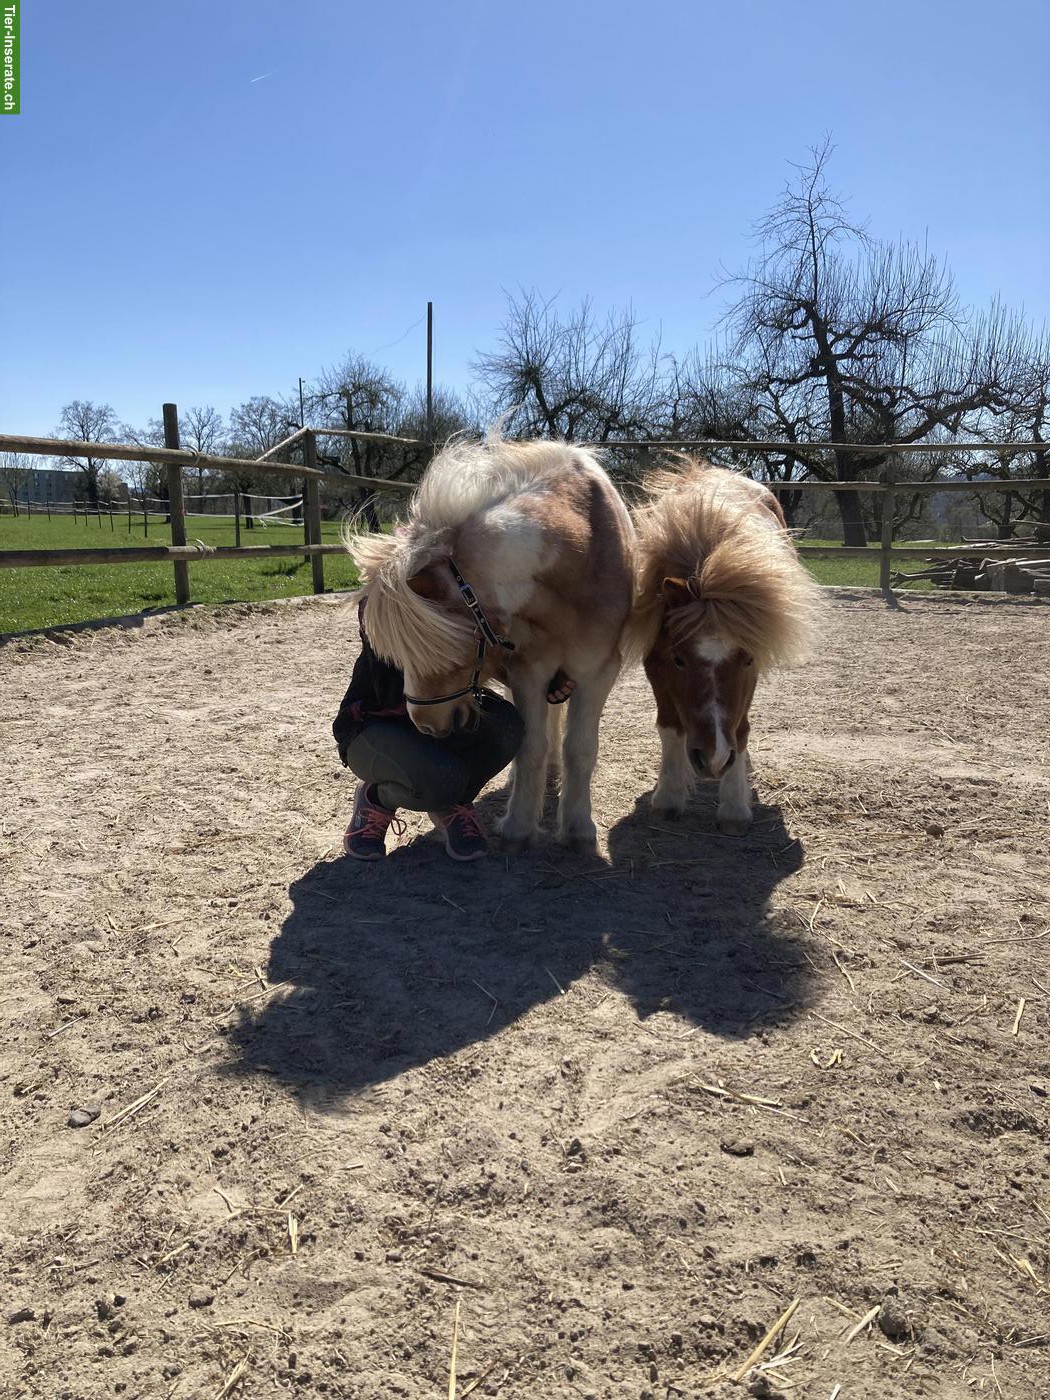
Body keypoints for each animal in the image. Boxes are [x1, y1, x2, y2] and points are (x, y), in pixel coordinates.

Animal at [347, 436, 635, 852]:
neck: (584, 548)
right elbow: (531, 746)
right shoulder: (529, 669)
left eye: (447, 647)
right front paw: (520, 826)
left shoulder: (597, 670)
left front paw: (578, 829)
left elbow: (581, 749)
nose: (425, 726)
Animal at [626, 458, 824, 835]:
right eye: (678, 660)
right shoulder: (655, 667)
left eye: (747, 660)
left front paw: (734, 806)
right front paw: (668, 797)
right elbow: (669, 726)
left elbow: (741, 730)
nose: (714, 759)